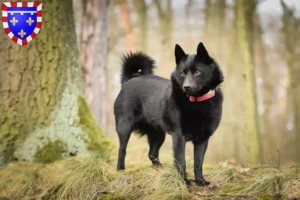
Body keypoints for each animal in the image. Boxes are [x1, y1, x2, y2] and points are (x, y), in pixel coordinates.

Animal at [114, 42, 223, 186]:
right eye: (182, 73)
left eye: (197, 72)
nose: (186, 87)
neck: (196, 101)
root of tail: (130, 79)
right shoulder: (179, 136)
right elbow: (181, 161)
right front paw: (184, 181)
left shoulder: (203, 138)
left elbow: (198, 163)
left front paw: (200, 181)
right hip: (124, 127)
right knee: (122, 150)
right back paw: (120, 170)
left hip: (158, 134)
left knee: (152, 153)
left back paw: (161, 169)